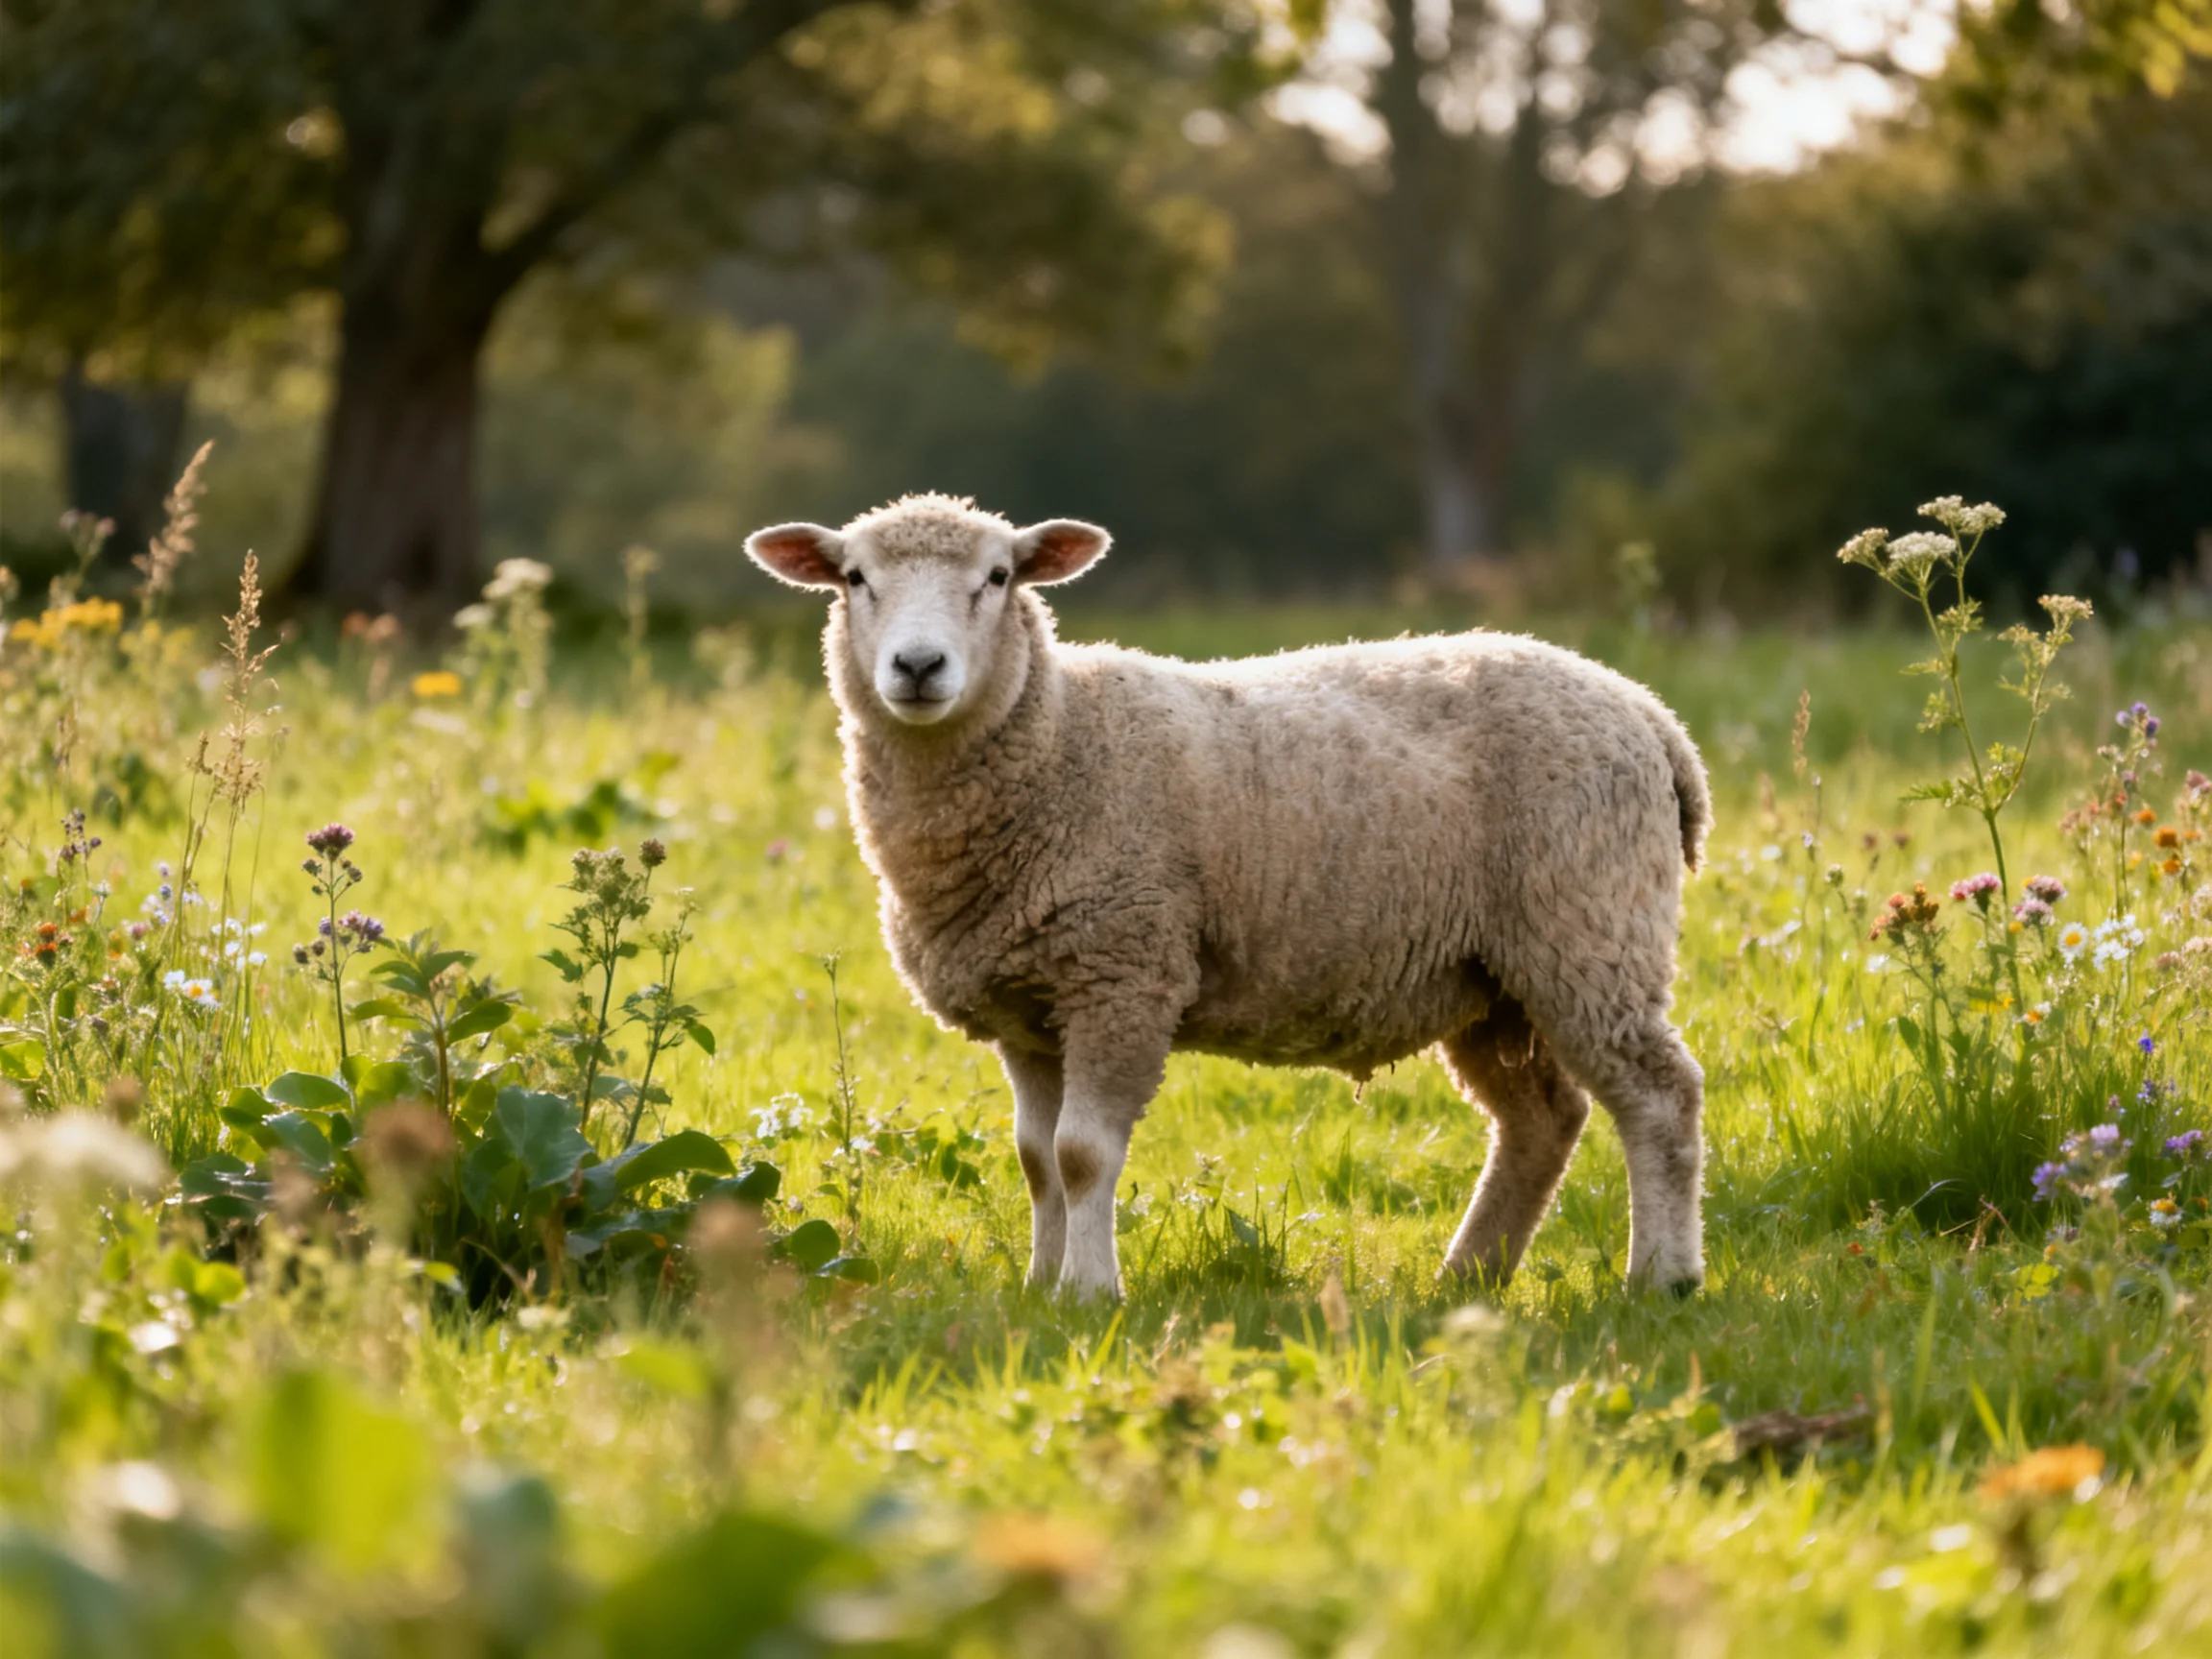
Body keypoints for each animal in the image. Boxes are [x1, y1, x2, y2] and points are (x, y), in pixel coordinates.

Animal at [747, 494, 1713, 1299]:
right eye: (855, 578)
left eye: (997, 577)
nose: (918, 666)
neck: (1060, 737)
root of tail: (1649, 712)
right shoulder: (1029, 1004)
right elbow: (1035, 1160)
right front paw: (1039, 1288)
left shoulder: (1122, 974)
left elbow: (1083, 1155)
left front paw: (1090, 1294)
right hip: (1490, 979)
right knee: (1541, 1120)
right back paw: (1469, 1276)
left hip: (1588, 927)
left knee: (1660, 1097)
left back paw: (1661, 1278)